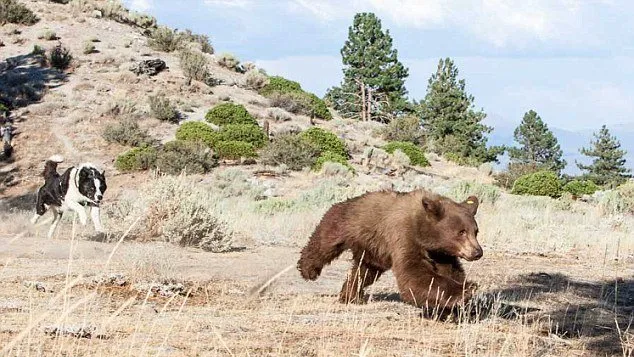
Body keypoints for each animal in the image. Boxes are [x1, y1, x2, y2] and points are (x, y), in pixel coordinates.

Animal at [296, 189, 478, 312]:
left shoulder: (441, 253)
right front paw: (464, 292)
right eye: (461, 232)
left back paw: (350, 296)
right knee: (324, 244)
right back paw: (308, 270)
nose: (477, 252)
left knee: (363, 272)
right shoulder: (404, 236)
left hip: (372, 250)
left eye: (475, 231)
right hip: (343, 222)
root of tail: (345, 201)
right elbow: (414, 274)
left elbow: (451, 271)